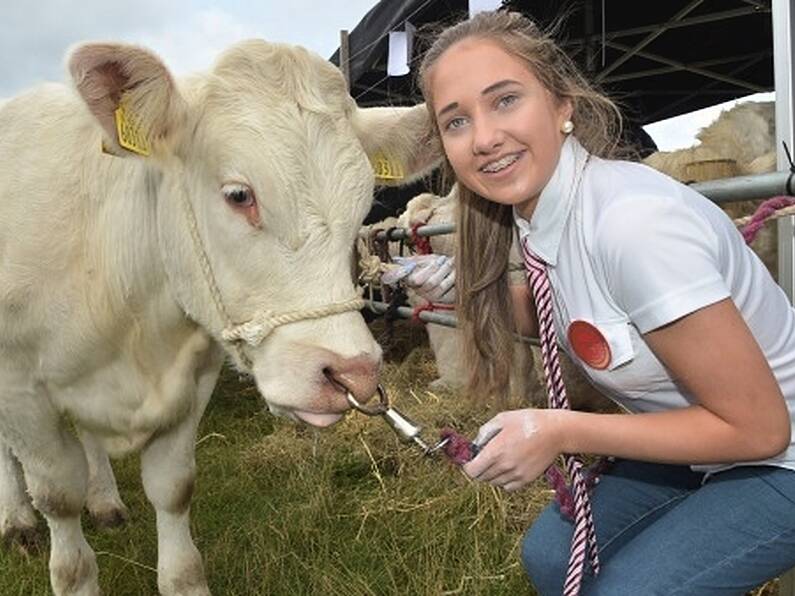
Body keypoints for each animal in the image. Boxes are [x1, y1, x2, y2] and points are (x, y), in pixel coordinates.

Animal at [0, 39, 438, 592]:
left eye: (363, 207)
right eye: (238, 194)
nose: (353, 374)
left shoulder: (193, 378)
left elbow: (174, 489)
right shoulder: (19, 392)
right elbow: (59, 505)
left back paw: (105, 501)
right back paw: (17, 519)